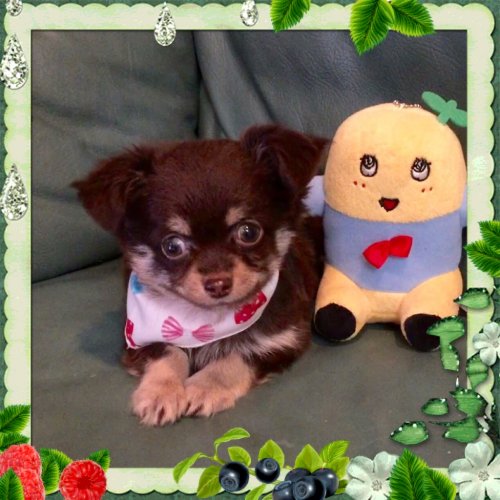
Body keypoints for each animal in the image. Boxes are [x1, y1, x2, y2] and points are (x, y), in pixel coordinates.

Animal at [73, 124, 327, 426]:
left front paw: (204, 387)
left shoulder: (284, 340)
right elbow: (168, 352)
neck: (202, 321)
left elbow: (237, 356)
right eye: (172, 246)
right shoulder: (136, 337)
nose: (218, 284)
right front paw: (161, 393)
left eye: (249, 232)